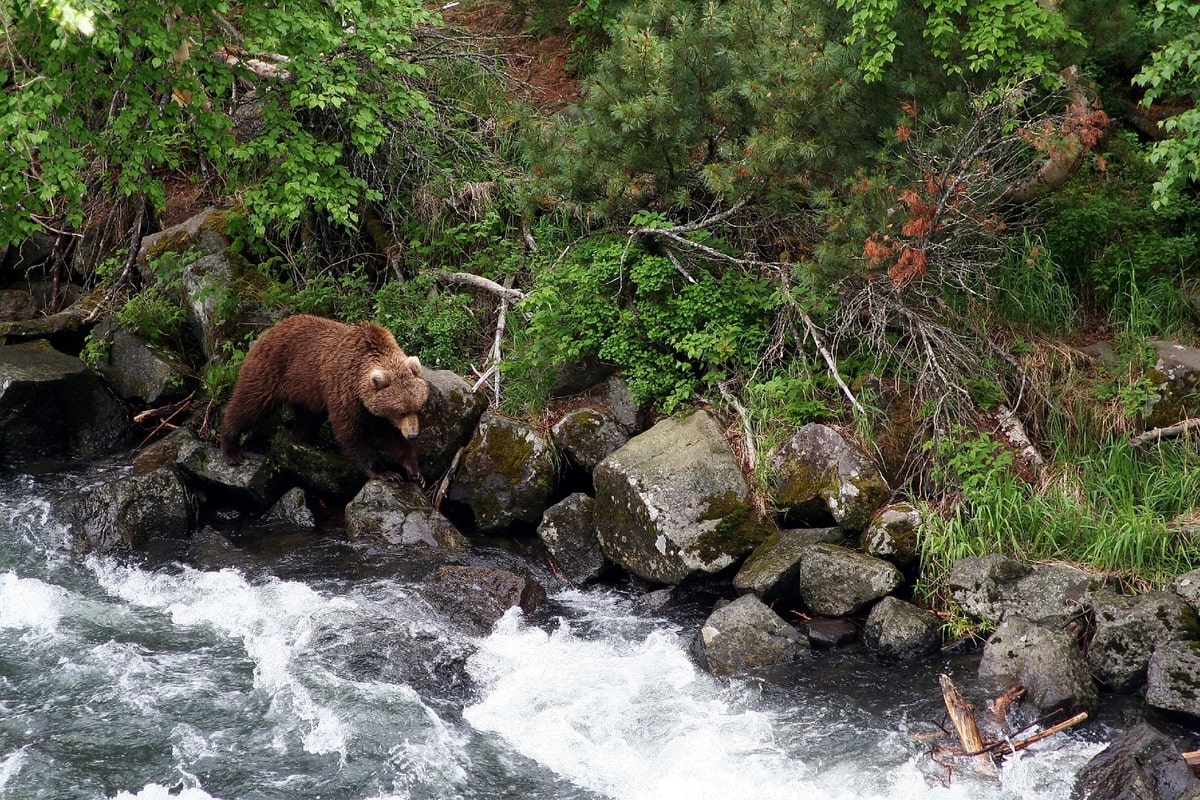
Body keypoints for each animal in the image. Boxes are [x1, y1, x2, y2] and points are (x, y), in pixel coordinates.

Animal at [220, 316, 432, 484]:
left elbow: (393, 437)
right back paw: (231, 449)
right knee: (251, 404)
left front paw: (415, 472)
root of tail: (269, 330)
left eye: (418, 408)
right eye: (401, 411)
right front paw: (385, 472)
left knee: (309, 414)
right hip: (272, 369)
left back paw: (311, 440)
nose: (413, 435)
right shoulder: (345, 390)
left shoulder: (376, 410)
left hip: (307, 388)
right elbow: (351, 432)